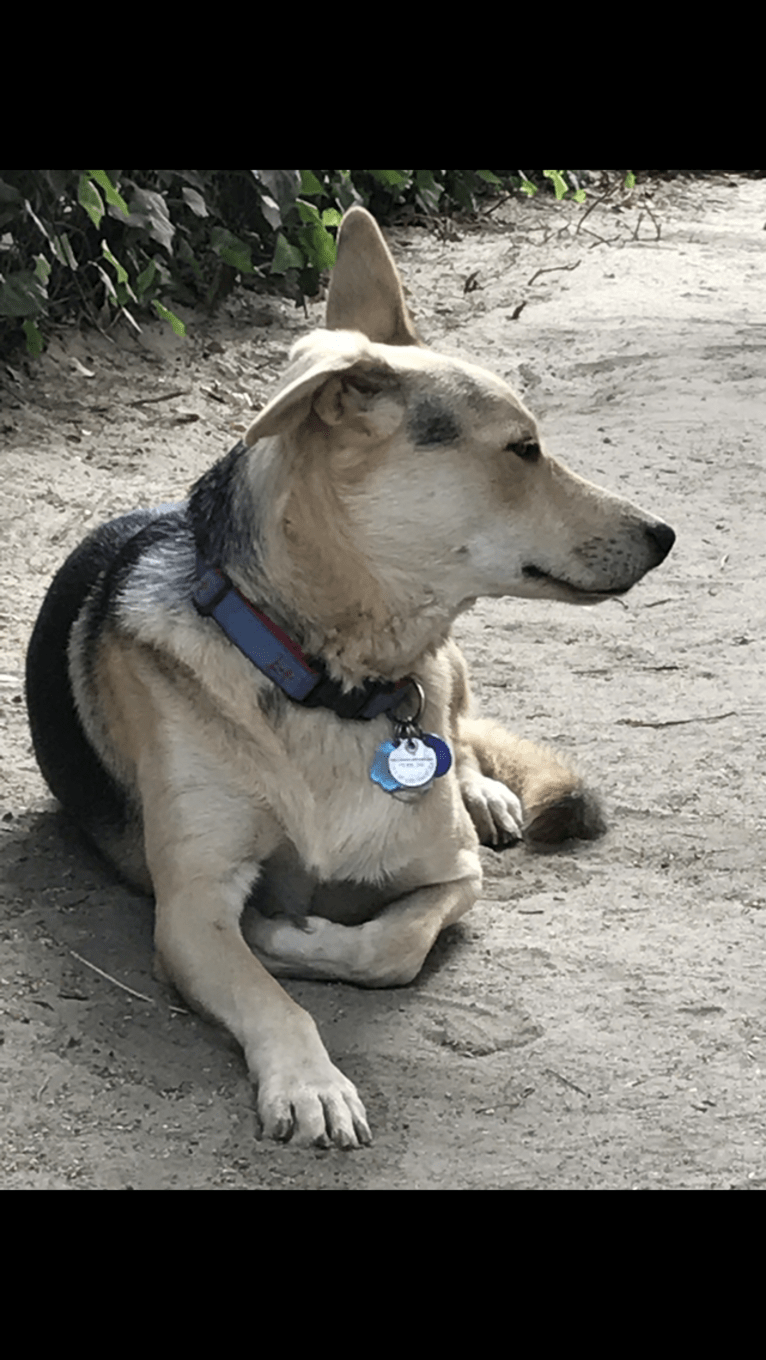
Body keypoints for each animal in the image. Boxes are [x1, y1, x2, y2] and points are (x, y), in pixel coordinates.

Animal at [23, 209, 674, 1147]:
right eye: (523, 449)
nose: (665, 534)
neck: (333, 680)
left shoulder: (454, 876)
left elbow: (388, 947)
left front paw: (292, 937)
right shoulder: (192, 908)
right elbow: (273, 998)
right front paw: (310, 1079)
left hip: (458, 679)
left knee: (466, 732)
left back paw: (486, 792)